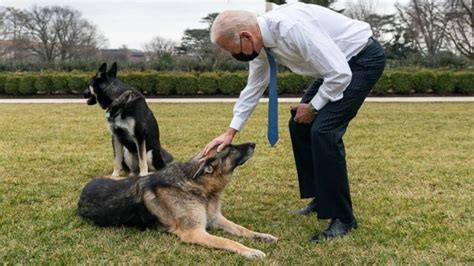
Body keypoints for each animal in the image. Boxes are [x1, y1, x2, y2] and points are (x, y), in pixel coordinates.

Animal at [78, 143, 278, 260]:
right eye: (233, 149)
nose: (253, 144)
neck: (198, 185)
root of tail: (84, 190)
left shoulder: (215, 219)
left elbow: (242, 229)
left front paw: (262, 236)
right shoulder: (195, 233)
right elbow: (228, 241)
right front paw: (250, 251)